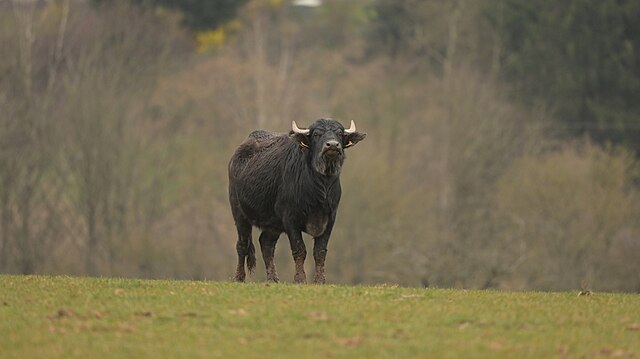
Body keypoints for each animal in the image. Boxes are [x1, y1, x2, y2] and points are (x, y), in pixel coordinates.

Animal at [229, 119, 364, 284]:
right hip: (239, 214)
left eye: (339, 133)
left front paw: (319, 280)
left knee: (266, 244)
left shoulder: (330, 219)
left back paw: (273, 279)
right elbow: (299, 250)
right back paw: (239, 278)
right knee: (242, 245)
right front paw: (300, 279)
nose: (332, 145)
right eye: (316, 134)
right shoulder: (290, 218)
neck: (320, 189)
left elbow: (320, 251)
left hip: (273, 224)